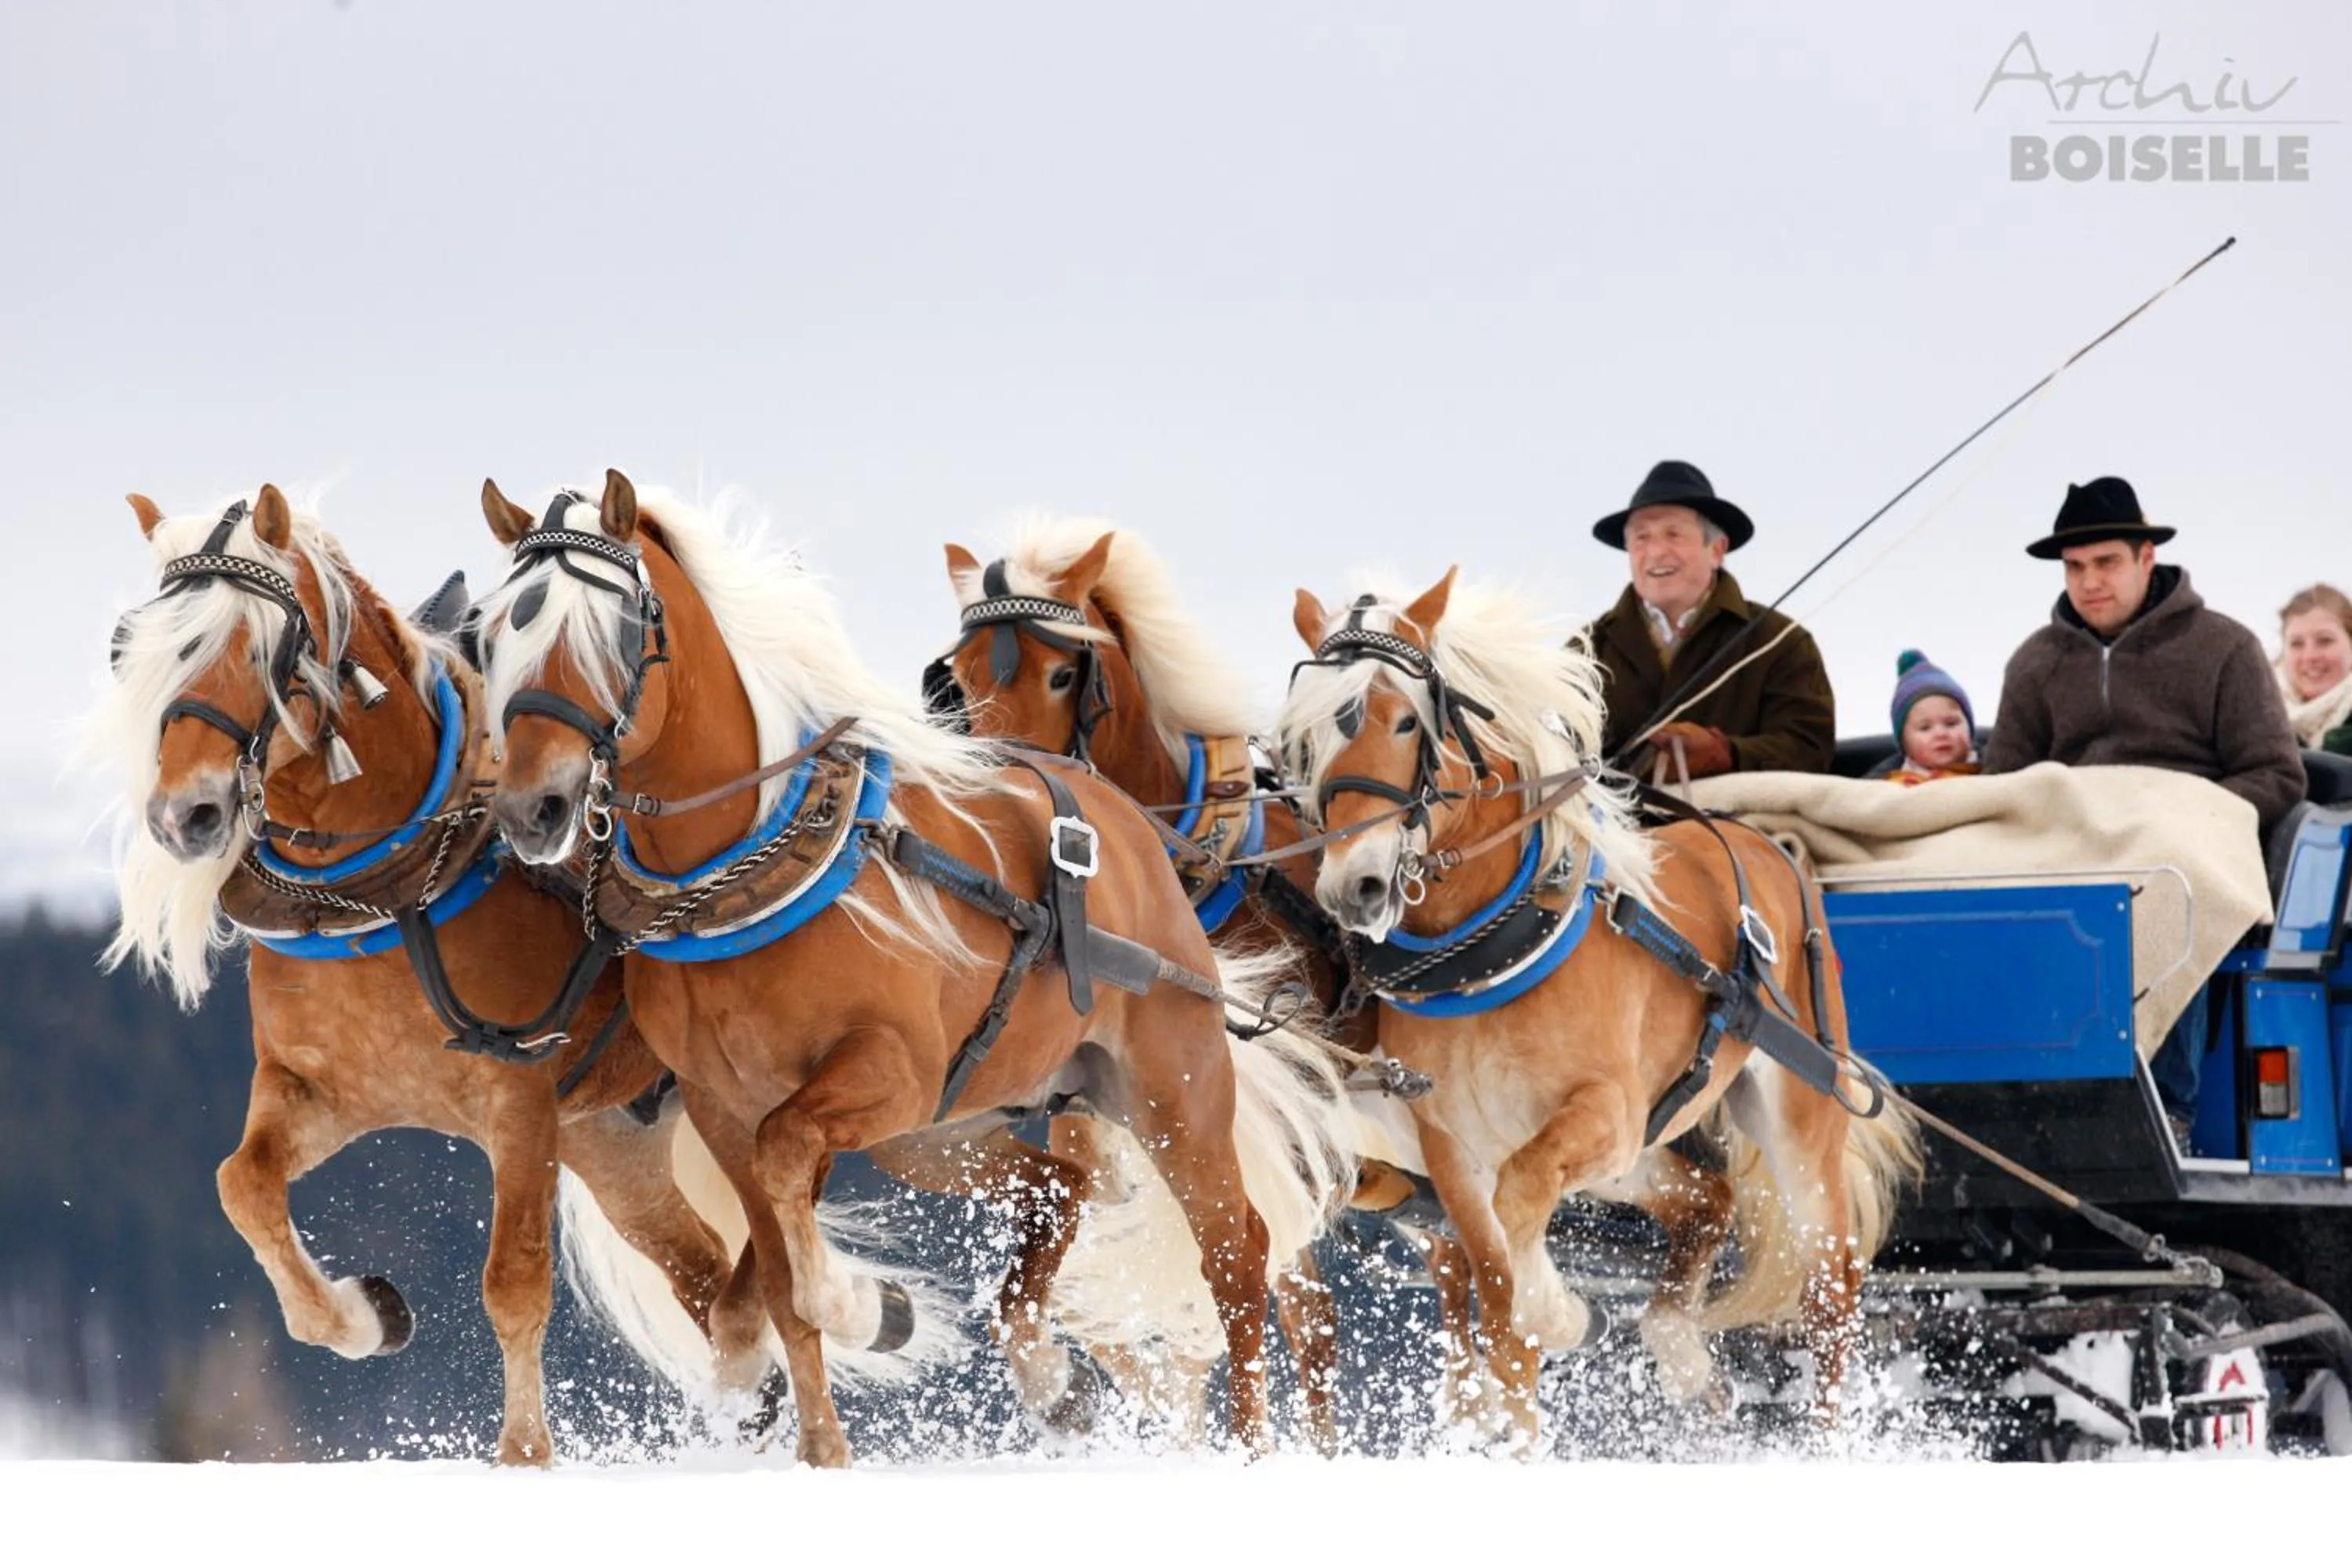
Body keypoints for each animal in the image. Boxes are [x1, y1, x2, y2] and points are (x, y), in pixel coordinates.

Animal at [92, 486, 929, 1463]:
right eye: (131, 645)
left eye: (262, 645)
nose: (183, 814)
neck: (390, 885)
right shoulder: (314, 1086)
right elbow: (243, 1186)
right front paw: (362, 1315)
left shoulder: (520, 1097)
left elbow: (514, 1281)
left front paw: (523, 1453)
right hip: (617, 1142)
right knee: (708, 1270)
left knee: (760, 1251)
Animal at [470, 470, 1357, 1465]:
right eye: (493, 632)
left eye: (621, 630)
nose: (534, 806)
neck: (746, 868)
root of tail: (1133, 824)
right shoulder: (724, 1103)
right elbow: (775, 1281)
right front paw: (815, 1439)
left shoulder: (887, 1070)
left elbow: (793, 1217)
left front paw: (862, 1306)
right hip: (950, 1126)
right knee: (1063, 1187)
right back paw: (1046, 1374)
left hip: (1170, 1088)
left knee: (1238, 1254)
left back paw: (1249, 1443)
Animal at [1270, 566, 1922, 1451]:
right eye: (1300, 742)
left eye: (1405, 719)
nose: (1353, 887)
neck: (1482, 956)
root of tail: (1766, 845)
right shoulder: (1449, 1149)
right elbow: (1493, 1292)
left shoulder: (1602, 1113)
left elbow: (1518, 1232)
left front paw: (1556, 1308)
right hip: (1641, 1150)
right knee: (1706, 1200)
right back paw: (1681, 1351)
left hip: (1792, 1113)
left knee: (1831, 1289)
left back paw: (1823, 1439)